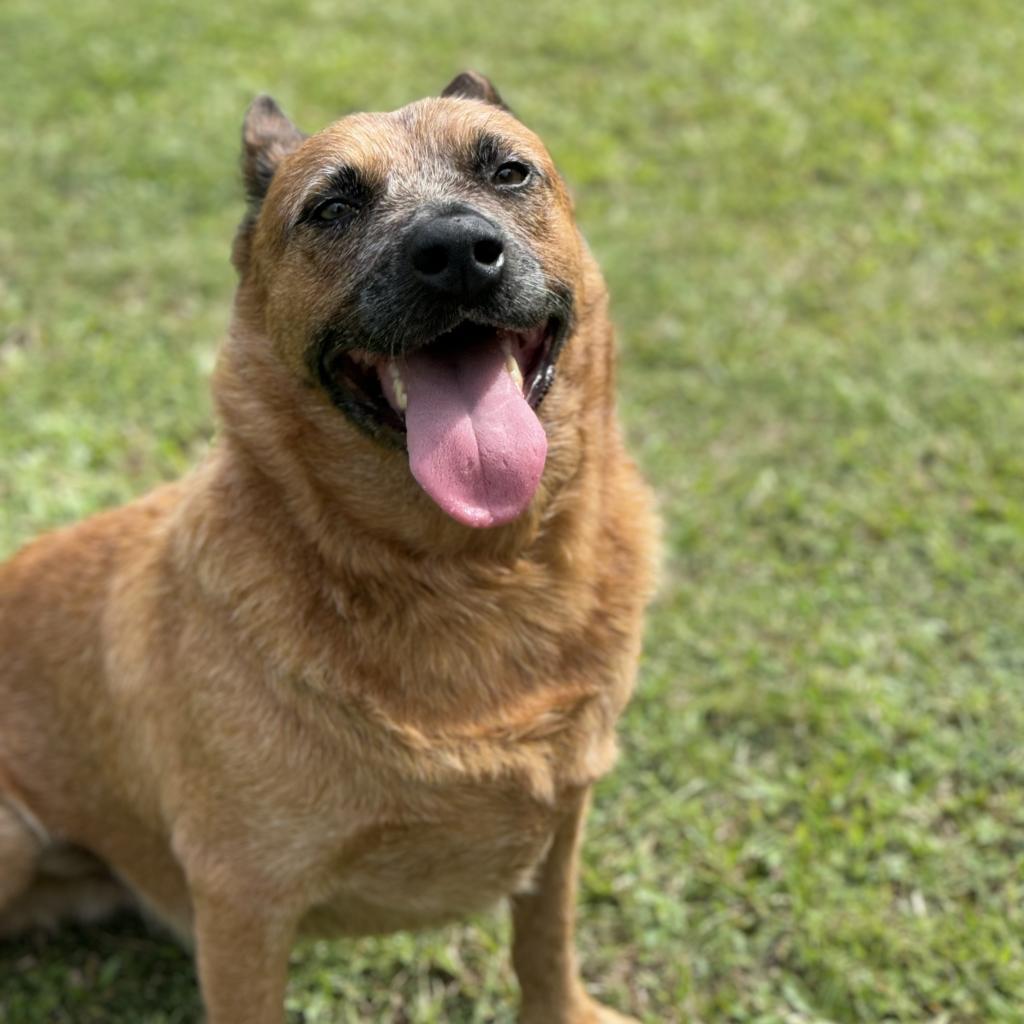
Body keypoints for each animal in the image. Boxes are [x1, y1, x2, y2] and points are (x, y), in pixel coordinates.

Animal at [0, 74, 655, 1024]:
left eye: (508, 170)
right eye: (332, 207)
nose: (457, 253)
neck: (469, 572)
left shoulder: (564, 819)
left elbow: (546, 946)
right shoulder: (243, 902)